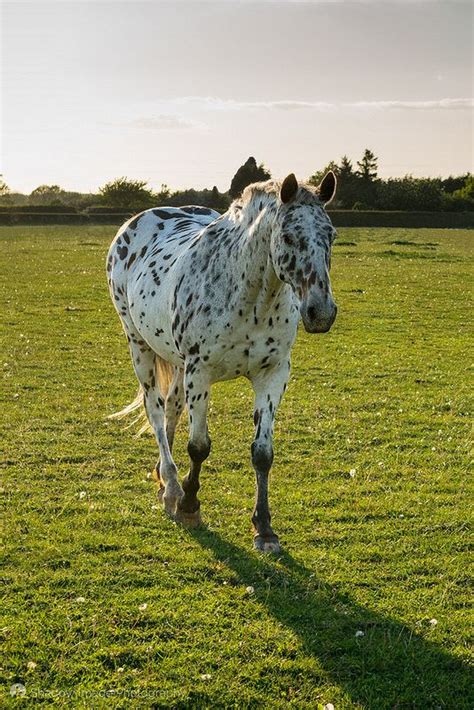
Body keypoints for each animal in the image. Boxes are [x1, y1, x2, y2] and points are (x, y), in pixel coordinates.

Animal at [107, 172, 336, 556]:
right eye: (289, 236)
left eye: (331, 235)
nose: (321, 312)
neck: (251, 295)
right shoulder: (200, 372)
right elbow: (199, 446)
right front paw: (189, 506)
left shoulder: (273, 374)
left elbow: (262, 453)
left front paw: (264, 528)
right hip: (139, 346)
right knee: (155, 411)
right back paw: (171, 486)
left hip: (176, 361)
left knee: (171, 409)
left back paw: (163, 477)